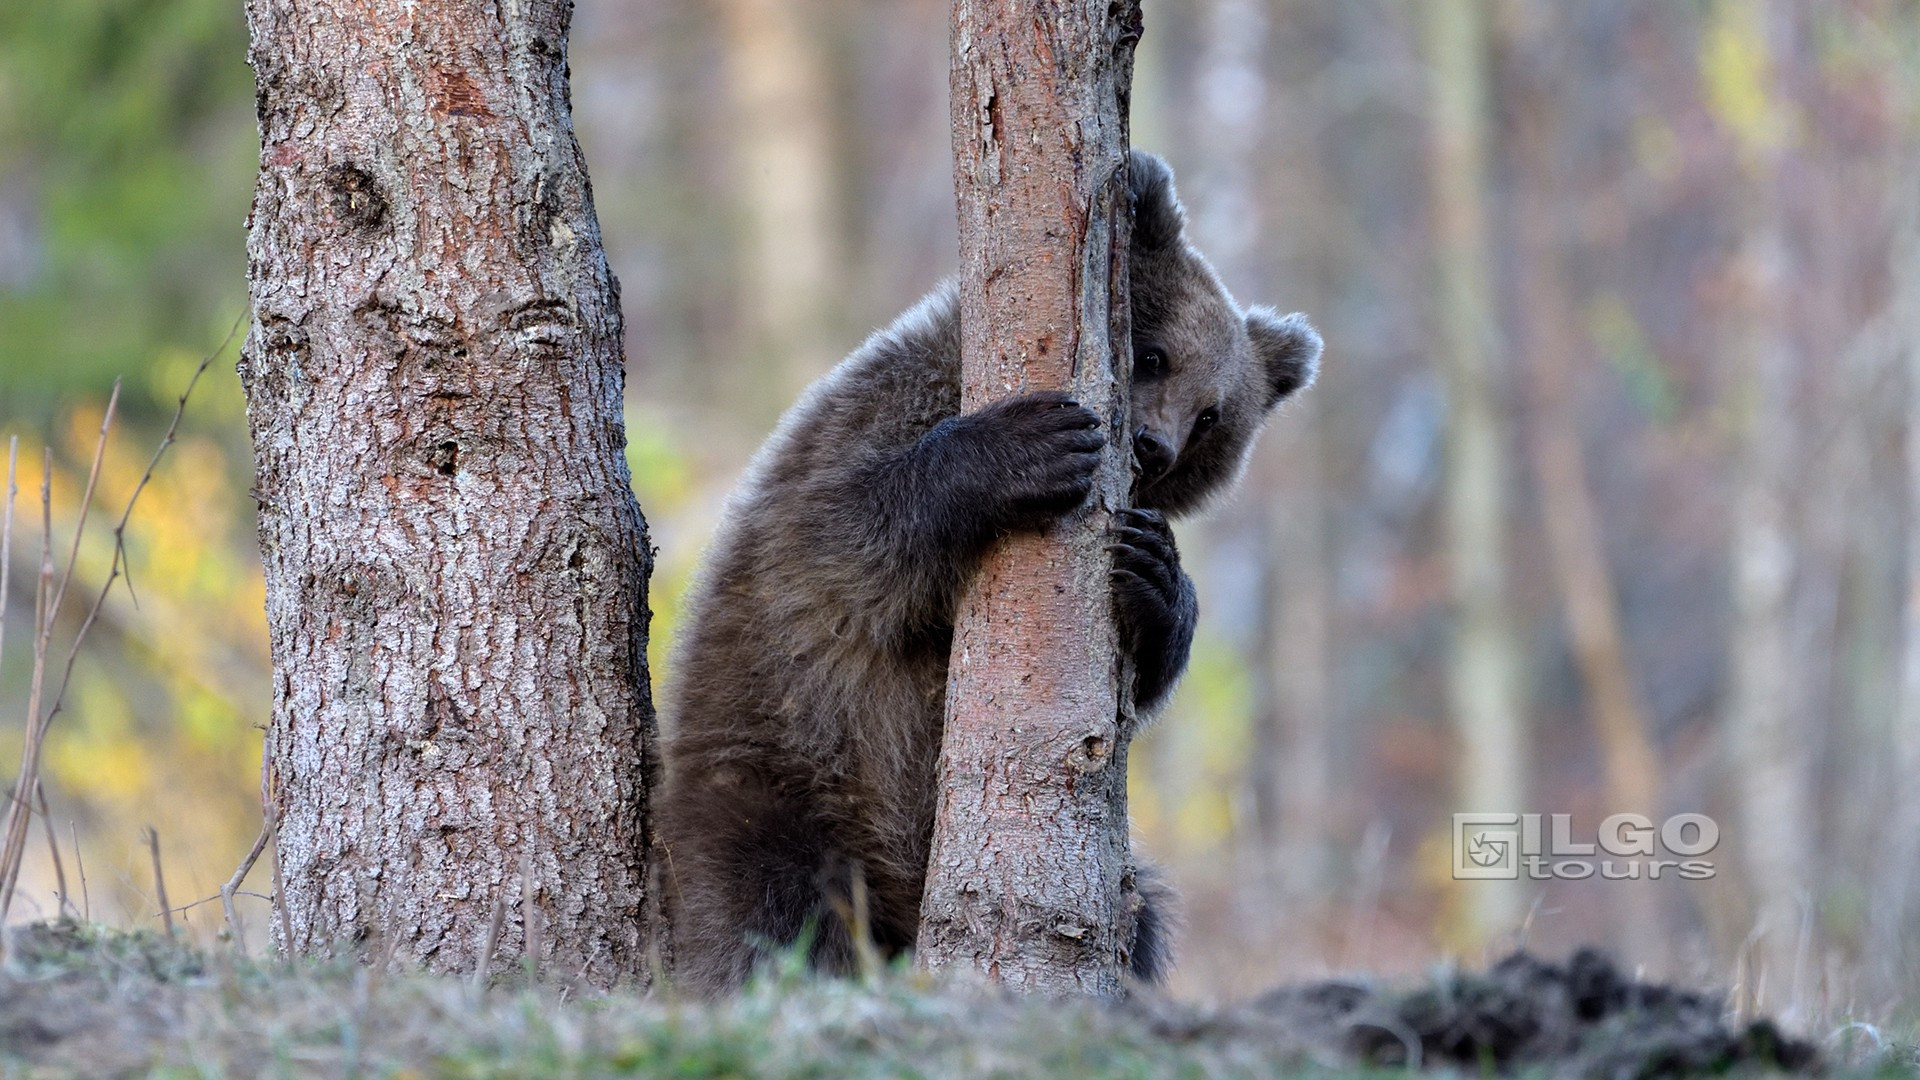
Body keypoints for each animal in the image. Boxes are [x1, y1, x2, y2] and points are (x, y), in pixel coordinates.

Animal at [657, 149, 1322, 995]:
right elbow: (839, 543)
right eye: (1155, 355)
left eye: (1214, 417)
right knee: (775, 915)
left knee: (1143, 915)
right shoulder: (860, 436)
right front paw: (1028, 448)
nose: (1153, 447)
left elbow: (1138, 679)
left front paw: (1157, 574)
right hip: (786, 779)